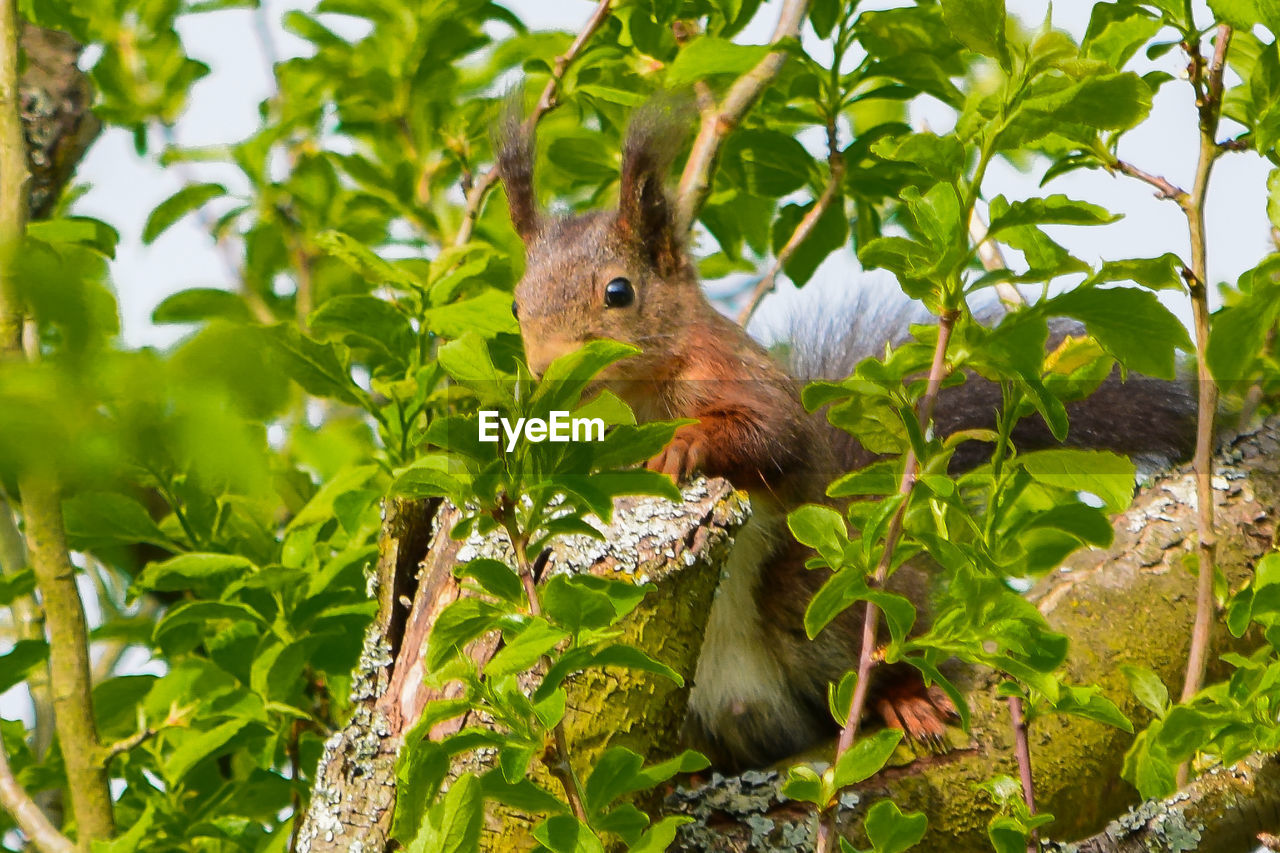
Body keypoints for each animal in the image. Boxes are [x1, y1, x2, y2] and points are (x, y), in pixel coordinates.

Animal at [491, 103, 1198, 768]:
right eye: (518, 304)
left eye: (619, 291)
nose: (549, 371)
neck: (631, 402)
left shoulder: (736, 375)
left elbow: (772, 434)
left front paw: (685, 443)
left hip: (826, 592)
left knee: (869, 648)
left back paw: (904, 697)